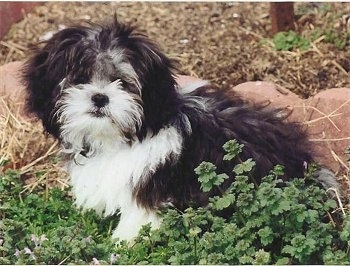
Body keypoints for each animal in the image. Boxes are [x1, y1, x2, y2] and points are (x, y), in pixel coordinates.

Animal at [21, 17, 336, 240]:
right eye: (80, 79)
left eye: (122, 82)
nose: (100, 97)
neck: (119, 138)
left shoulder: (150, 183)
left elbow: (140, 214)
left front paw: (124, 240)